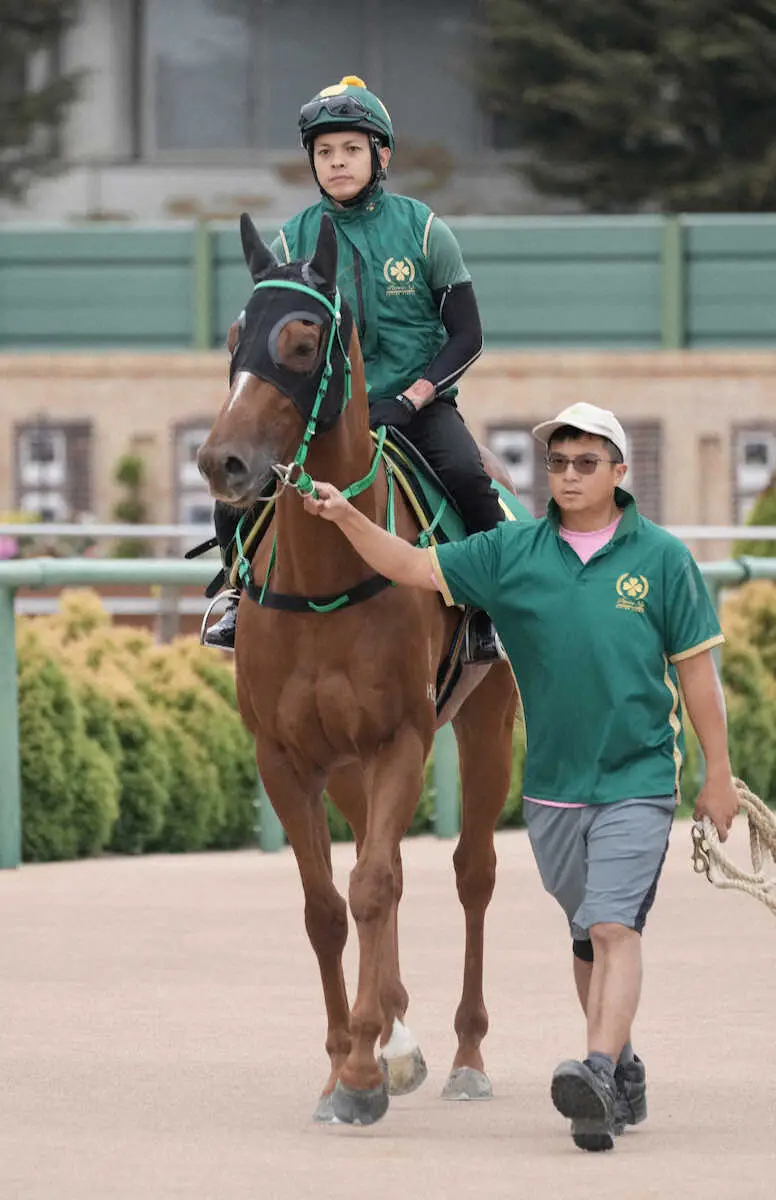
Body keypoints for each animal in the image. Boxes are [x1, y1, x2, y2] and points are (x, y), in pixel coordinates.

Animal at [197, 213, 518, 1123]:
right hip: (344, 765)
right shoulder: (285, 755)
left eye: (304, 341)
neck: (329, 579)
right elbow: (328, 907)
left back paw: (465, 1055)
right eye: (234, 335)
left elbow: (373, 887)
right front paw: (350, 1058)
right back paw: (401, 1036)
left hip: (487, 724)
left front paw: (368, 1073)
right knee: (394, 870)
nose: (221, 462)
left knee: (470, 873)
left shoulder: (400, 738)